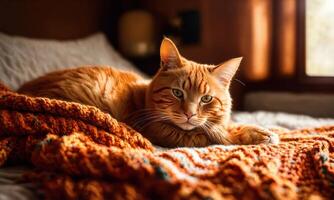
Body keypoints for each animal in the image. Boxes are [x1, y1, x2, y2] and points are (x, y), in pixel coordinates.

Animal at [18, 38, 280, 147]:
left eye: (206, 99)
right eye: (177, 93)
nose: (189, 114)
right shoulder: (161, 131)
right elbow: (214, 135)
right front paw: (252, 134)